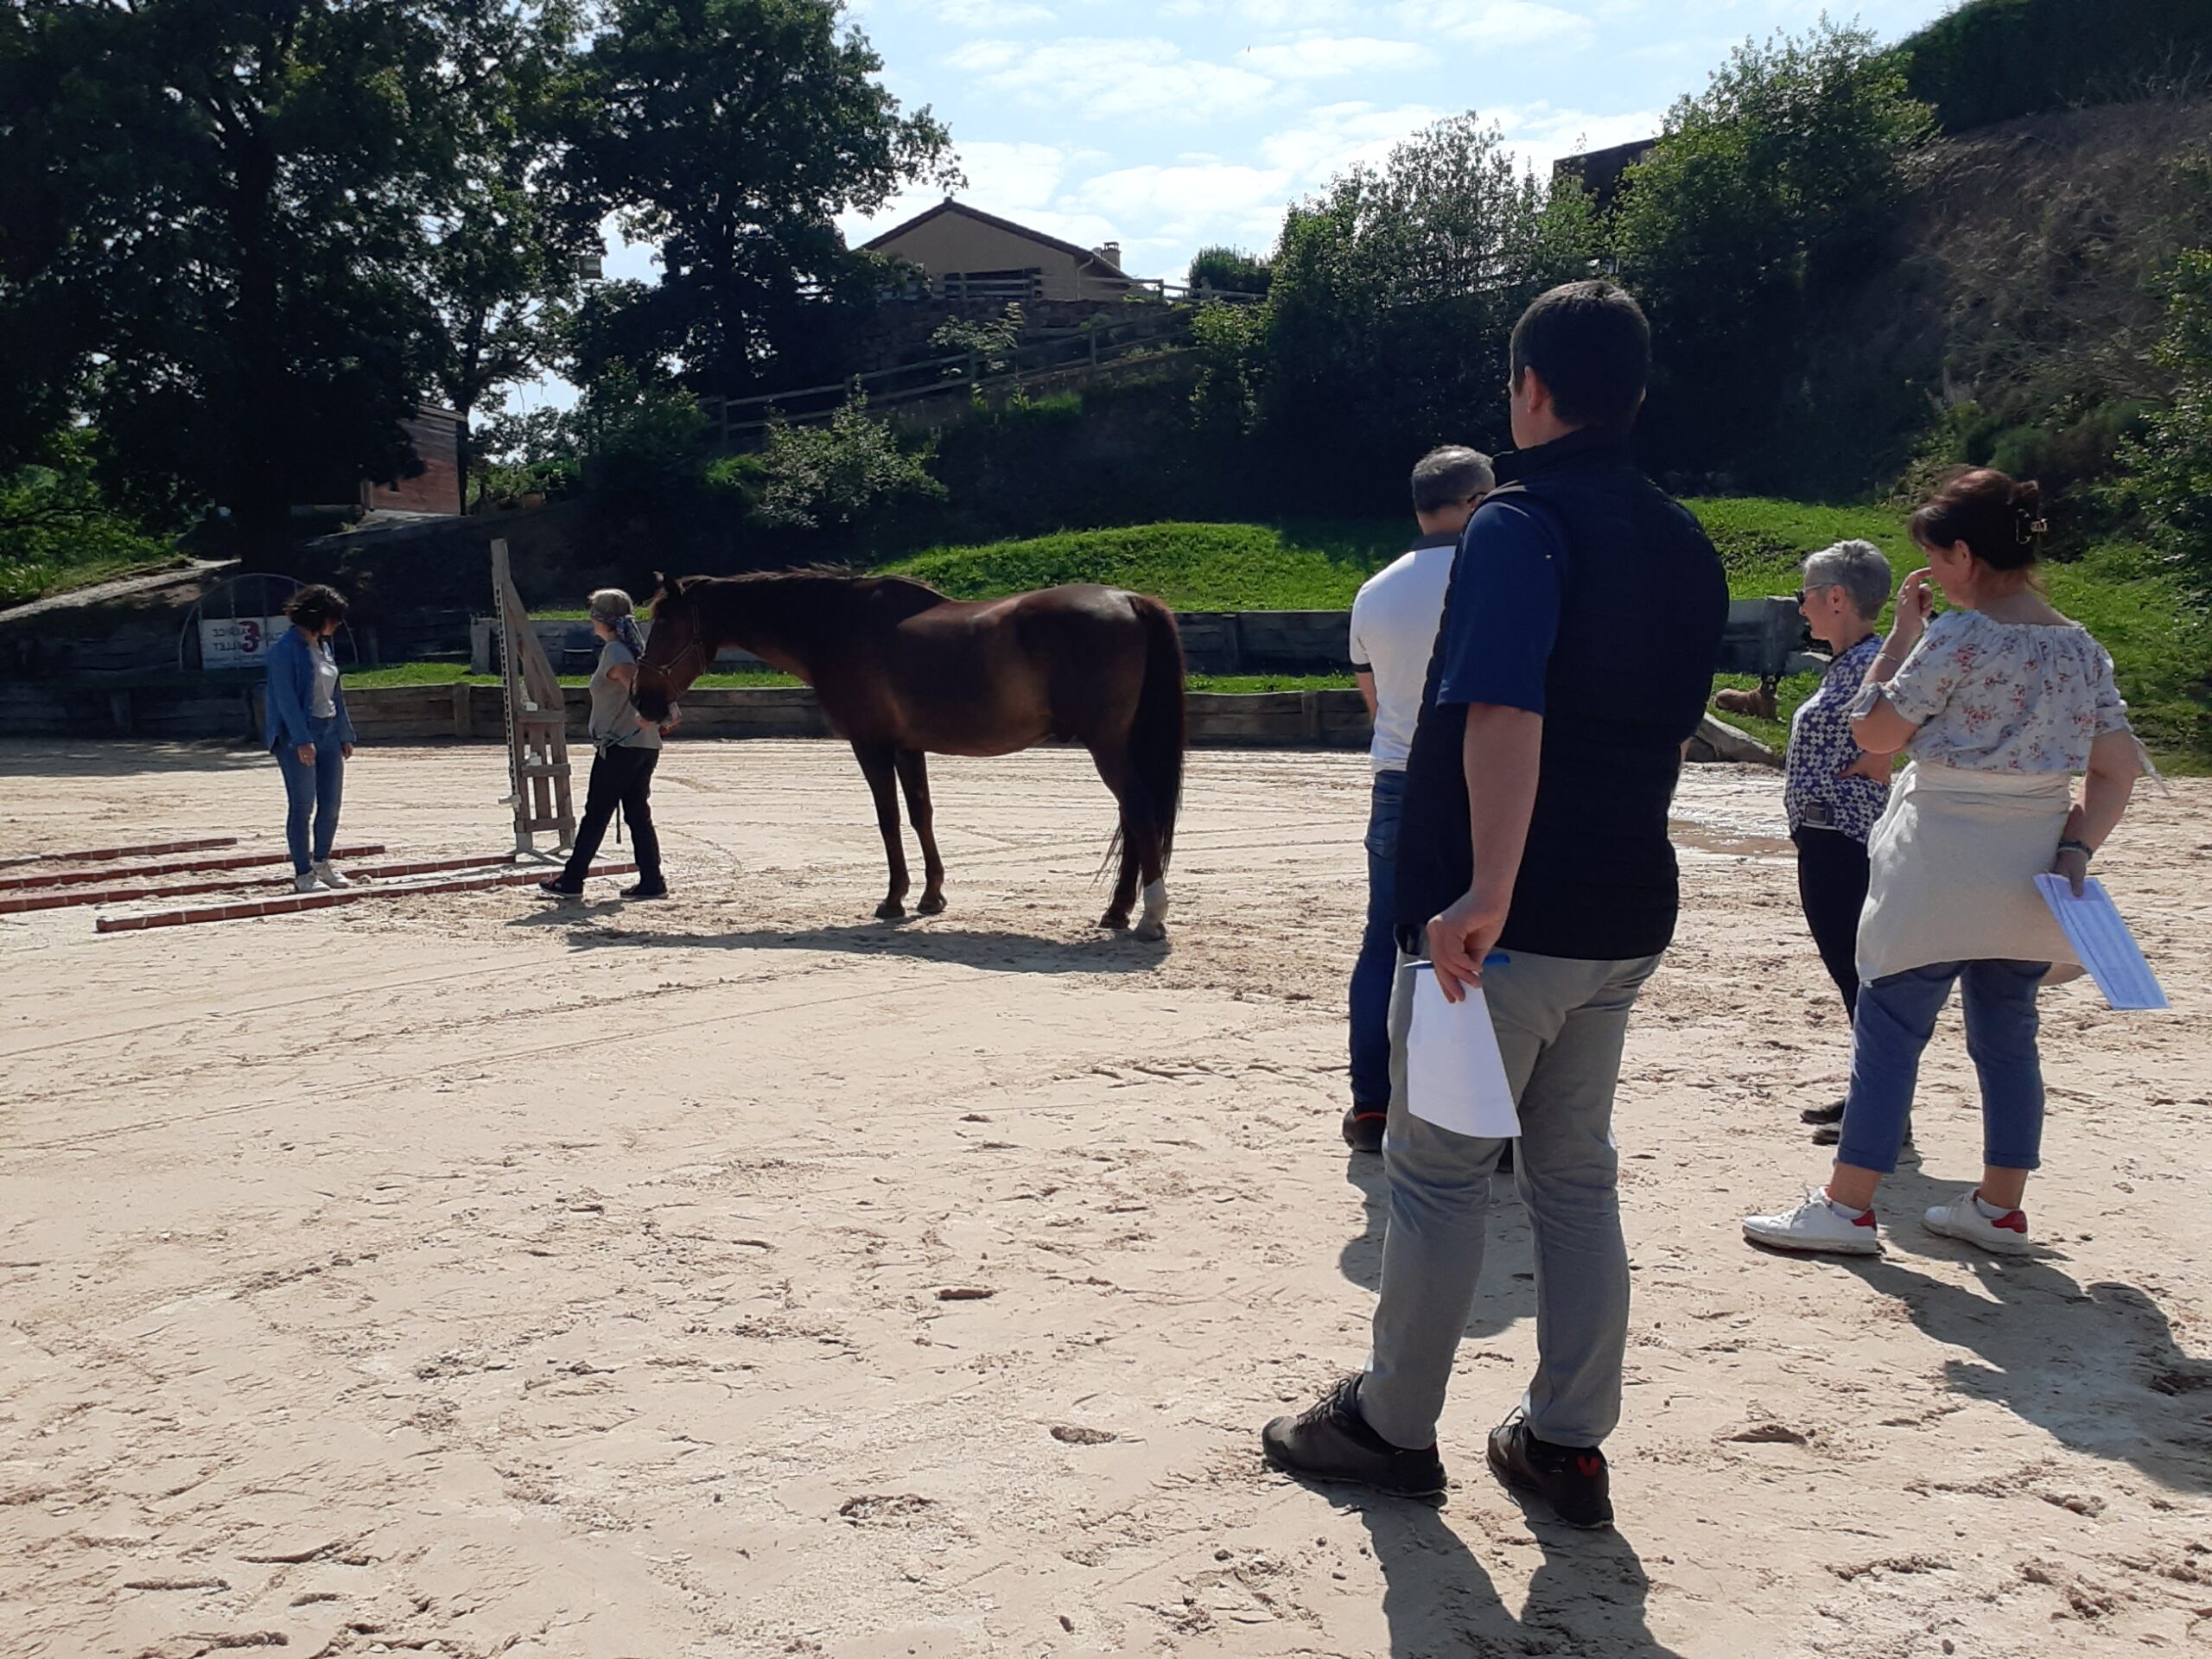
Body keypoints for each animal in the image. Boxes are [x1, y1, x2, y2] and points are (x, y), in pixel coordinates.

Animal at [637, 570, 1185, 938]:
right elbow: (921, 813)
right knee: (1134, 817)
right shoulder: (907, 746)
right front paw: (931, 895)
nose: (644, 700)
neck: (839, 624)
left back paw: (1150, 916)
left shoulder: (872, 745)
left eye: (663, 627)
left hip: (1107, 746)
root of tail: (1131, 600)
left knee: (1139, 811)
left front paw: (894, 898)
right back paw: (1118, 911)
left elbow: (888, 819)